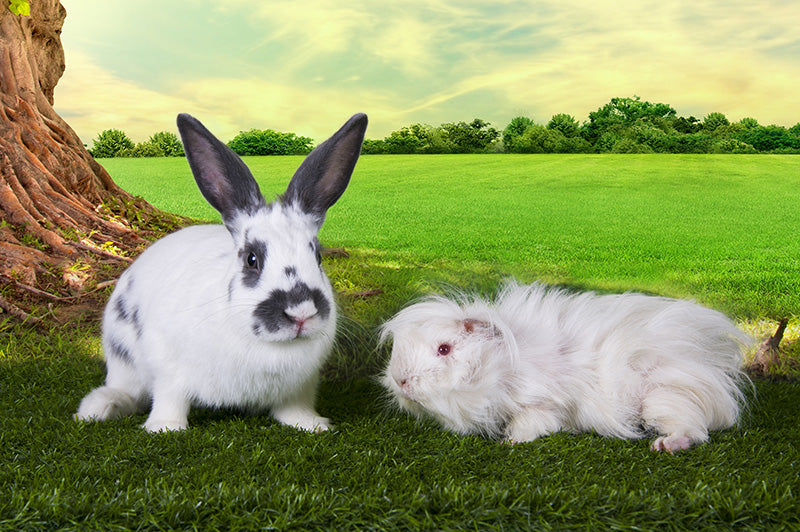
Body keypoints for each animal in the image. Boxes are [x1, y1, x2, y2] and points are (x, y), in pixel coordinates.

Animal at [75, 112, 368, 433]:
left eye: (317, 256)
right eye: (251, 259)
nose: (301, 313)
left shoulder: (301, 386)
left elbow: (294, 407)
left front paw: (312, 425)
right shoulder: (167, 368)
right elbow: (169, 398)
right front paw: (165, 427)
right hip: (122, 357)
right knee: (126, 388)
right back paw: (99, 407)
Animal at [380, 281, 751, 452]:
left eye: (444, 349)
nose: (400, 380)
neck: (500, 368)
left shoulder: (540, 404)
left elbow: (530, 424)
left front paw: (507, 443)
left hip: (663, 400)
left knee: (693, 431)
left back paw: (663, 446)